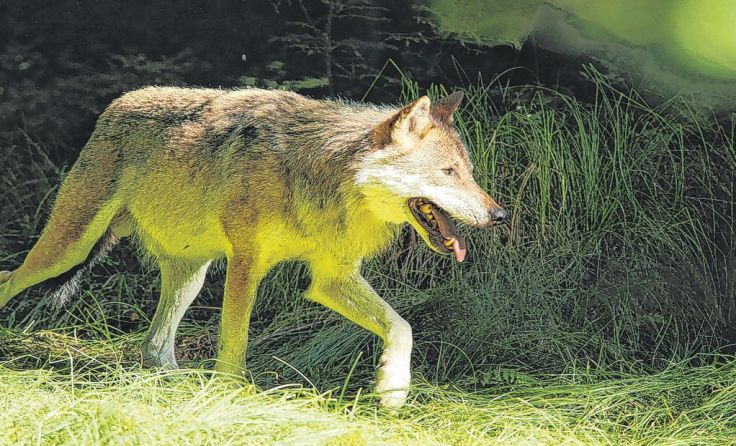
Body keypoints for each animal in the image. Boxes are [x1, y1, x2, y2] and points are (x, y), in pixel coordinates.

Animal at [0, 87, 507, 407]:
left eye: (469, 173)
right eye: (447, 173)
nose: (499, 215)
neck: (327, 174)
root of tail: (117, 104)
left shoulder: (331, 278)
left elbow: (402, 326)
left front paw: (392, 388)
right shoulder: (247, 262)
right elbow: (235, 342)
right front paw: (231, 394)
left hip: (192, 276)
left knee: (153, 346)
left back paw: (180, 386)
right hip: (65, 250)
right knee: (10, 278)